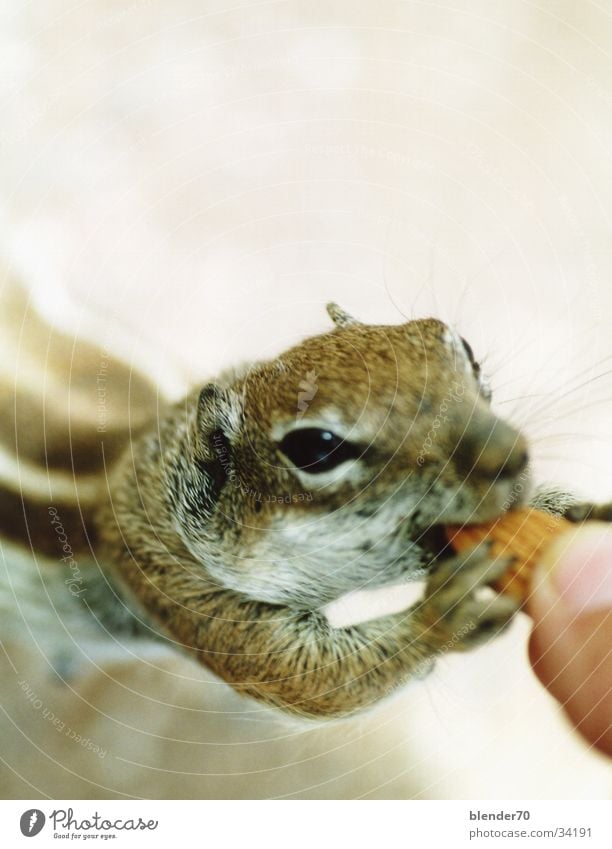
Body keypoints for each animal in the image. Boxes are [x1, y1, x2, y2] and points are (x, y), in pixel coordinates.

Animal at [2, 288, 600, 720]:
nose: (510, 456)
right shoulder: (186, 592)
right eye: (316, 448)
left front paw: (573, 507)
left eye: (465, 348)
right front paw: (443, 612)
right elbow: (316, 682)